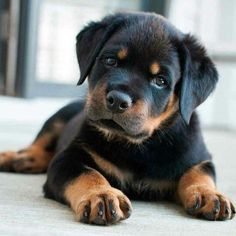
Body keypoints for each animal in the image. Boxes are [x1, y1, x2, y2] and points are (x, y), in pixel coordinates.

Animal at [0, 11, 235, 225]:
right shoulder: (68, 157)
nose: (118, 100)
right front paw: (101, 195)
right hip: (58, 117)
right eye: (111, 61)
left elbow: (199, 173)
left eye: (160, 81)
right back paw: (15, 157)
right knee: (39, 146)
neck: (138, 147)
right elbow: (87, 173)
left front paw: (209, 194)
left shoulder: (199, 157)